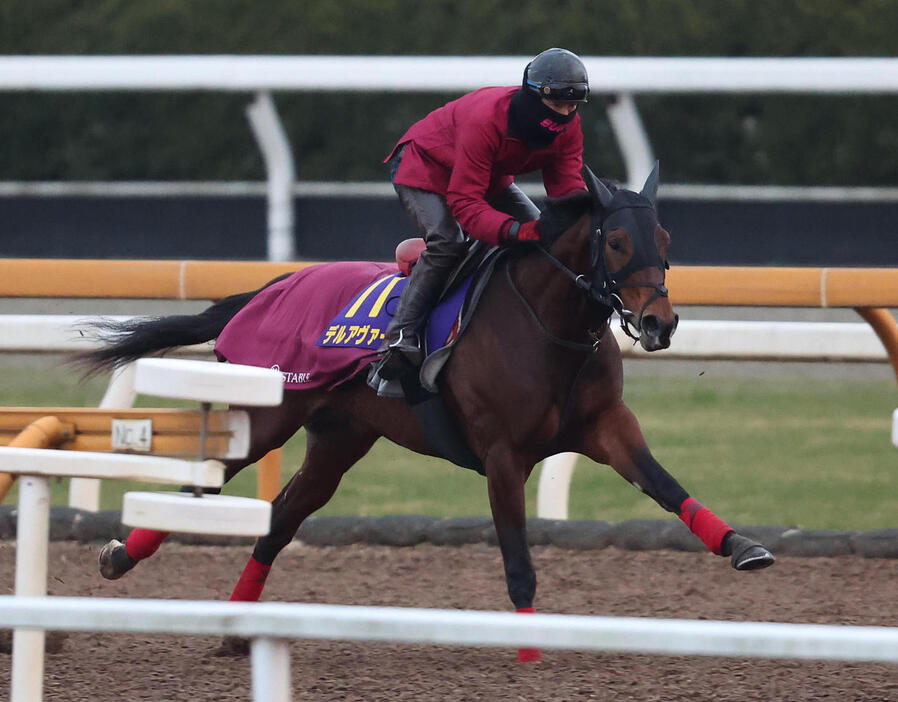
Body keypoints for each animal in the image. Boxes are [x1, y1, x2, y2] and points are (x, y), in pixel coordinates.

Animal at [80, 165, 772, 660]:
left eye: (665, 239)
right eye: (618, 240)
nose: (659, 323)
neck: (549, 322)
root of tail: (270, 287)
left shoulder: (606, 426)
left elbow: (665, 485)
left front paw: (741, 545)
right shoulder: (503, 455)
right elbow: (518, 558)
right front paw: (529, 649)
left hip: (339, 438)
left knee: (279, 519)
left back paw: (235, 628)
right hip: (266, 415)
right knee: (204, 482)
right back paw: (120, 557)